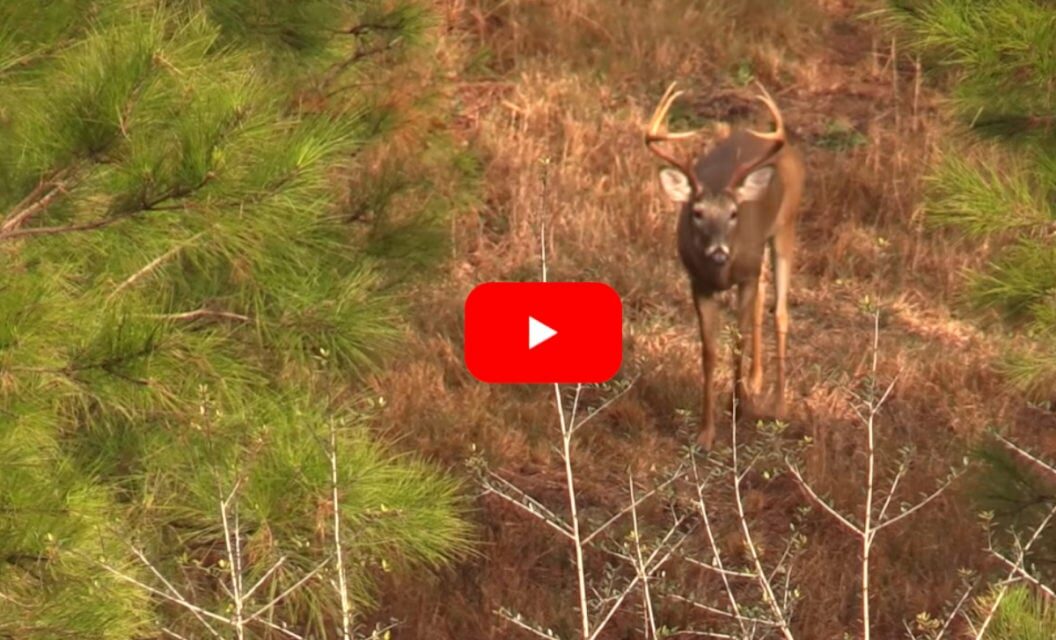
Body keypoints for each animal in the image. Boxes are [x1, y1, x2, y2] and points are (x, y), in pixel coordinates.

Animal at [637, 81, 802, 452]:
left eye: (734, 213)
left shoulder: (746, 273)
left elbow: (738, 339)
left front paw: (737, 410)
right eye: (697, 213)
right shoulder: (698, 282)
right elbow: (709, 351)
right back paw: (755, 381)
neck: (722, 274)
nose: (718, 253)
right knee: (762, 305)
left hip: (785, 226)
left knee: (781, 311)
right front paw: (706, 432)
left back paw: (779, 404)